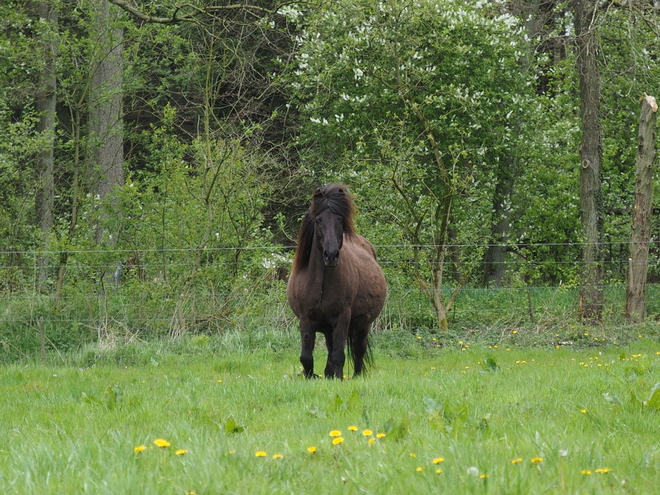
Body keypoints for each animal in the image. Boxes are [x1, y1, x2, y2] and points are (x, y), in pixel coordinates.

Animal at [288, 186, 386, 380]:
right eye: (318, 220)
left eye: (340, 220)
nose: (331, 255)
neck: (320, 283)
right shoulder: (305, 319)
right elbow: (306, 357)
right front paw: (311, 376)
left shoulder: (342, 317)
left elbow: (339, 355)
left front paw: (338, 379)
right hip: (328, 328)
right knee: (330, 347)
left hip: (363, 325)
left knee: (358, 350)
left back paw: (355, 376)